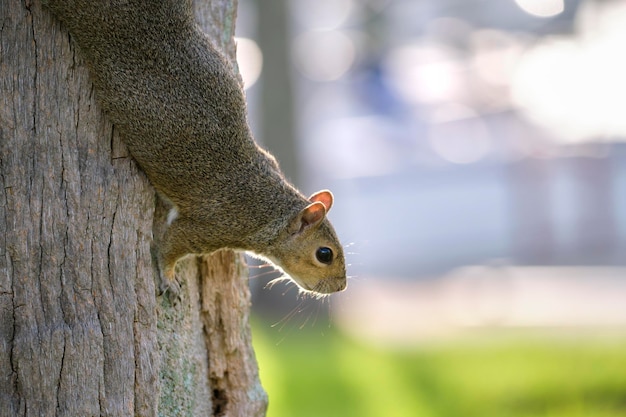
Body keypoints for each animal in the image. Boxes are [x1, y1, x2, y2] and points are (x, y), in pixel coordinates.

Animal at [46, 0, 348, 294]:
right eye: (324, 254)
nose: (341, 287)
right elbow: (170, 245)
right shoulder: (211, 228)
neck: (269, 208)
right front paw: (168, 279)